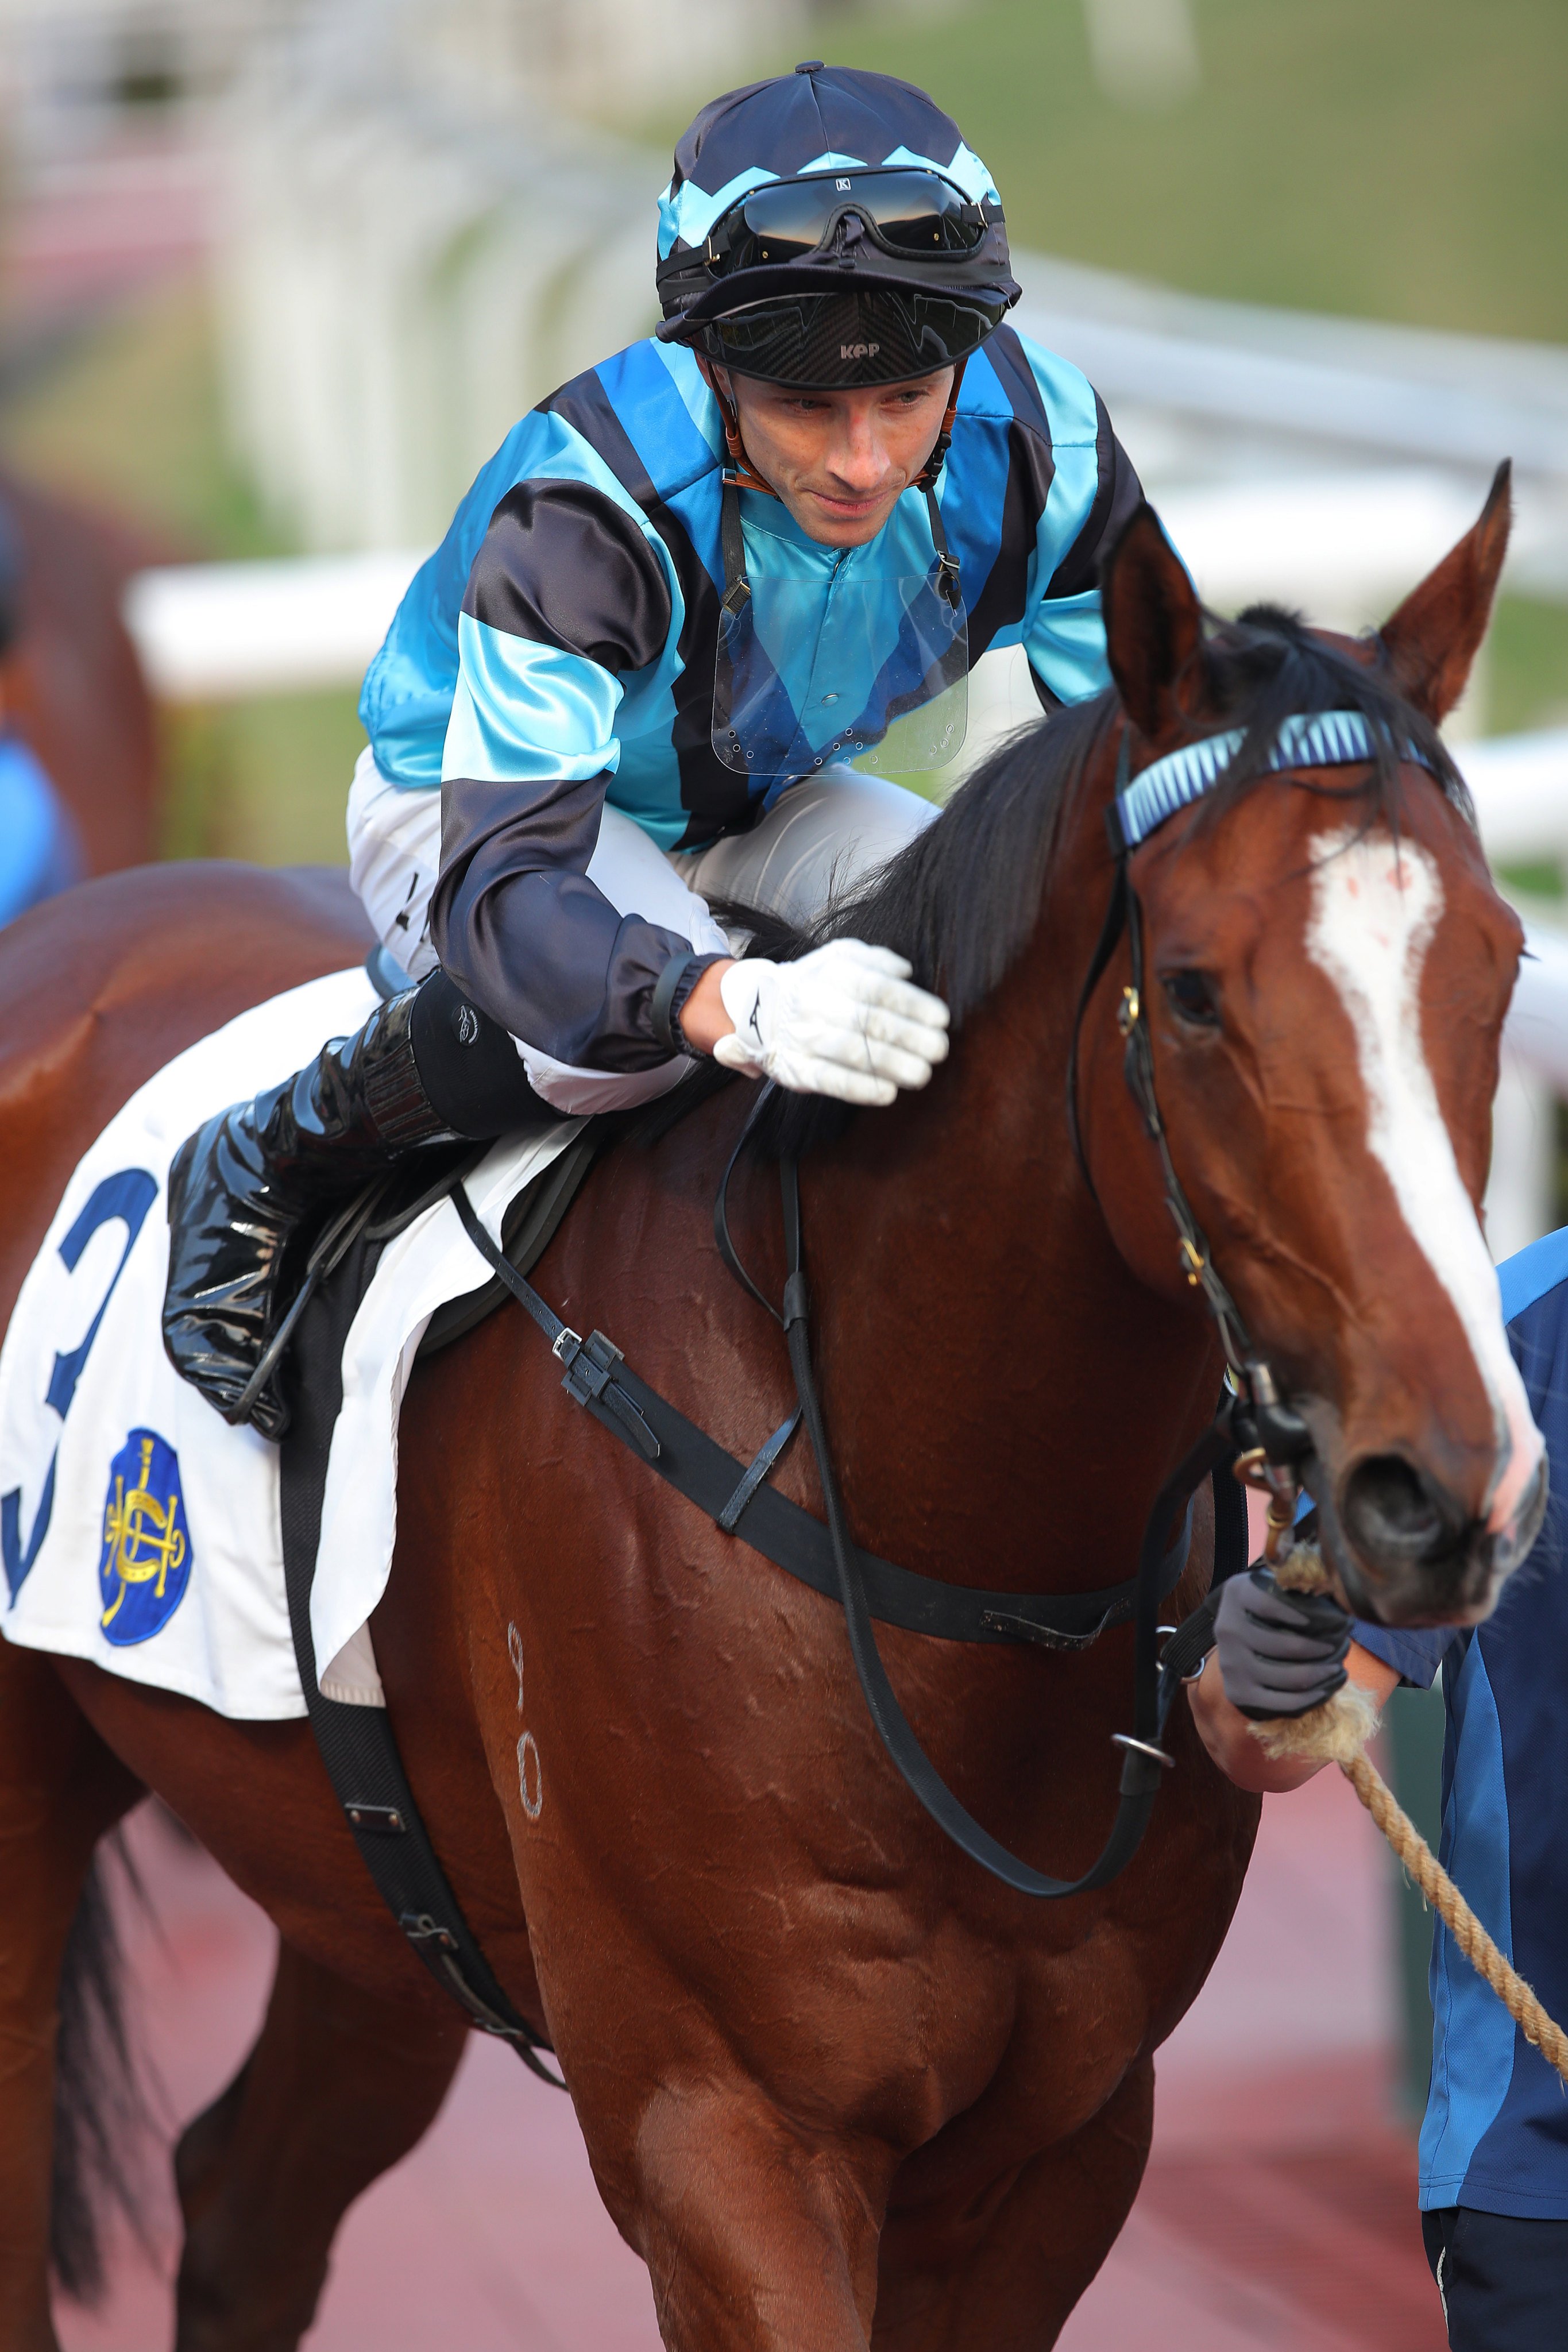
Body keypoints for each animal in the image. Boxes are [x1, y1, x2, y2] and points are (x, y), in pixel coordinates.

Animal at [0, 482, 1542, 2351]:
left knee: (241, 2205)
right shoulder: (721, 2134)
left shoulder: (1064, 2146)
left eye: (1498, 961)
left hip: (367, 1893)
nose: (1440, 1490)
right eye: (1190, 988)